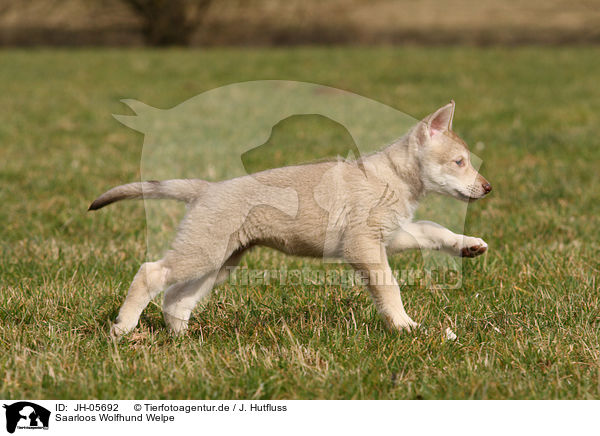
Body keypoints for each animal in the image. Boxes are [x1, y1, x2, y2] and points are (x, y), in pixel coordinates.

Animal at [90, 101, 492, 338]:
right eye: (459, 162)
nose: (488, 188)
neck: (392, 176)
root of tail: (206, 189)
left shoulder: (389, 236)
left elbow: (432, 229)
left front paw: (468, 245)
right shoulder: (363, 245)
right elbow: (389, 287)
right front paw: (405, 325)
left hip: (219, 261)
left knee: (175, 298)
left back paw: (182, 341)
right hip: (203, 253)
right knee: (150, 274)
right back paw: (123, 327)